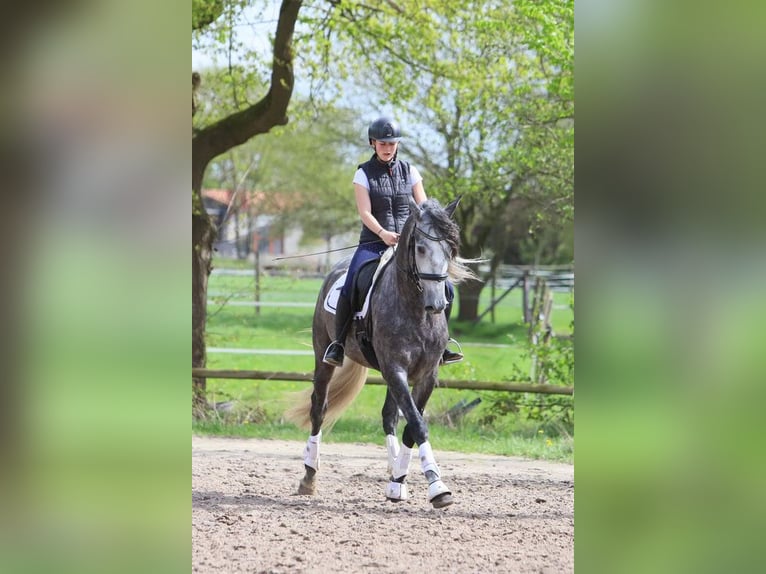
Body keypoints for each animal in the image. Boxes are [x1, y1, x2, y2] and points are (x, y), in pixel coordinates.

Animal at [285, 197, 477, 509]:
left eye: (451, 249)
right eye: (420, 248)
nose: (436, 304)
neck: (415, 309)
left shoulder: (425, 375)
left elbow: (411, 424)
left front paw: (399, 482)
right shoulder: (395, 369)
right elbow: (418, 424)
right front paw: (438, 488)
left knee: (389, 416)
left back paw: (394, 470)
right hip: (324, 357)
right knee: (319, 408)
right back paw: (309, 476)